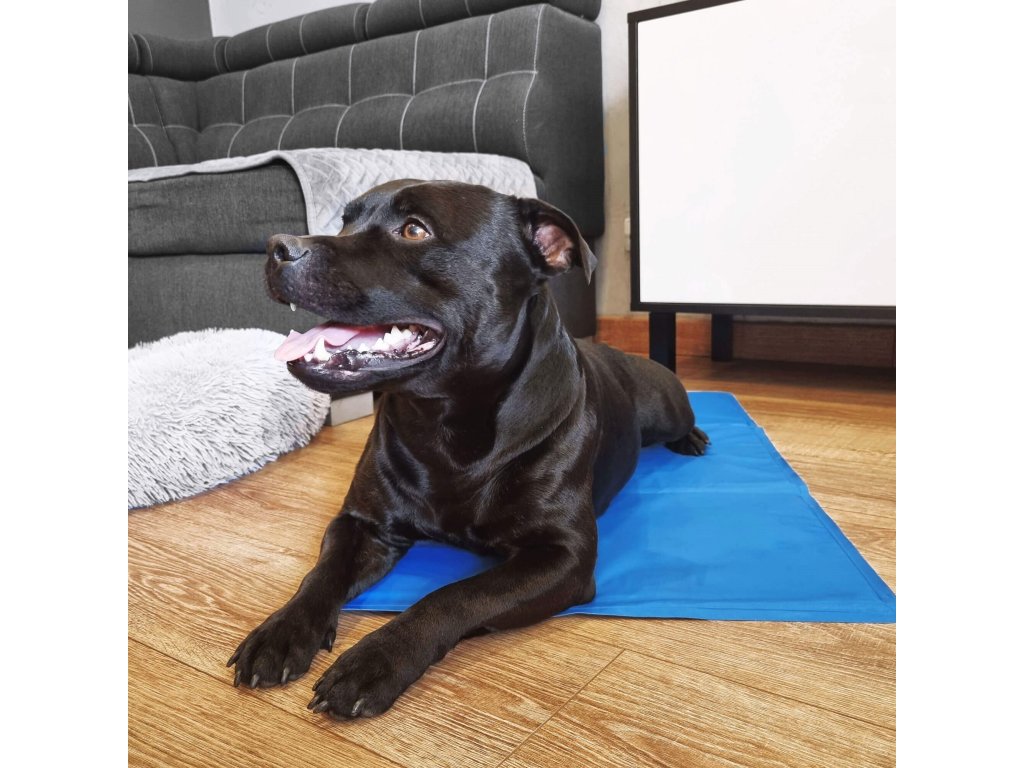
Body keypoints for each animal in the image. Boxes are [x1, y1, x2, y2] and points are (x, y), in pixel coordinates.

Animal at [228, 180, 709, 718]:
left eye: (414, 230)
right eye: (345, 221)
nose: (278, 247)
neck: (444, 424)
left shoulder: (561, 557)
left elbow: (454, 595)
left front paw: (376, 659)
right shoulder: (361, 523)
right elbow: (321, 574)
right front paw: (282, 631)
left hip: (666, 406)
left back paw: (693, 439)